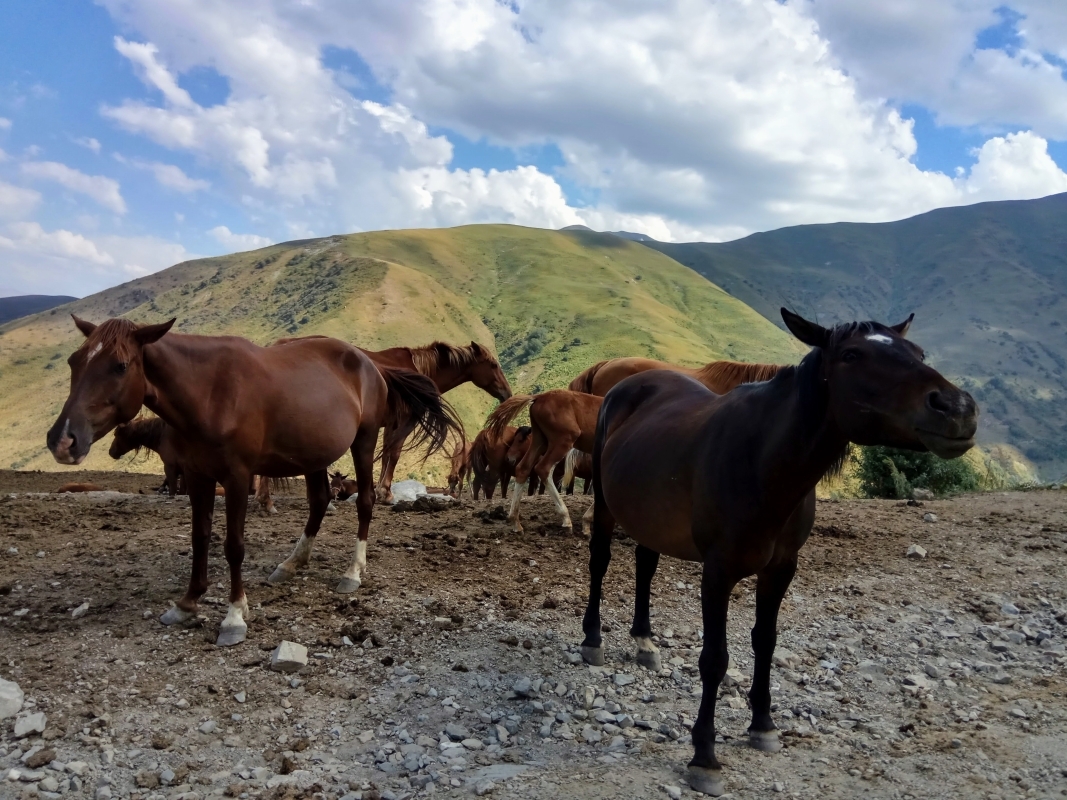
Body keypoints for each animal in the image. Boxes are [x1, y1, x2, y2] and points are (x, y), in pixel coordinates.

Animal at [47, 316, 460, 647]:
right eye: (73, 361)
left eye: (119, 366)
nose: (63, 440)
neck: (209, 392)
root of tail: (370, 363)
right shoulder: (197, 476)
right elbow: (200, 538)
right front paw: (187, 603)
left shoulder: (237, 478)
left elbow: (234, 546)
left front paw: (233, 616)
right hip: (314, 454)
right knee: (320, 500)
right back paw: (292, 563)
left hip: (364, 440)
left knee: (365, 501)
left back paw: (352, 572)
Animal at [582, 310, 978, 795]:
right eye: (852, 355)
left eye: (918, 352)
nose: (957, 409)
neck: (763, 462)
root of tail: (627, 383)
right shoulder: (718, 572)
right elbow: (715, 659)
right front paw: (704, 757)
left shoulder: (781, 569)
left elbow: (765, 642)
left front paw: (763, 725)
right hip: (605, 503)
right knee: (600, 561)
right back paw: (592, 640)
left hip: (650, 516)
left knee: (645, 563)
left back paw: (643, 641)